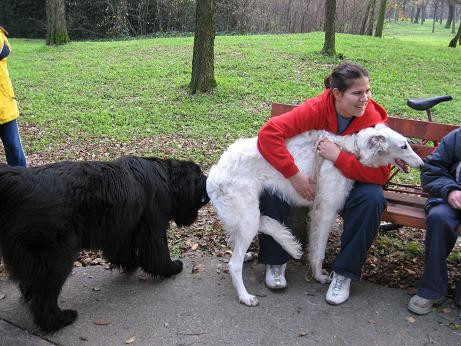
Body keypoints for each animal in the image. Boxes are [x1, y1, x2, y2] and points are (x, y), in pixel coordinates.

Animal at [0, 156, 208, 332]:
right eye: (199, 176)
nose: (208, 179)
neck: (167, 178)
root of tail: (19, 180)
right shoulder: (152, 226)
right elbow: (158, 254)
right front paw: (172, 267)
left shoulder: (120, 227)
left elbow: (121, 252)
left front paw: (132, 263)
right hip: (57, 256)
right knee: (45, 296)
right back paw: (59, 320)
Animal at [207, 123, 422, 306]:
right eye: (404, 146)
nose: (422, 164)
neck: (350, 150)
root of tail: (214, 175)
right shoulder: (325, 211)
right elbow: (318, 252)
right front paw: (319, 276)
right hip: (248, 218)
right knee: (234, 264)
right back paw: (245, 296)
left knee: (244, 235)